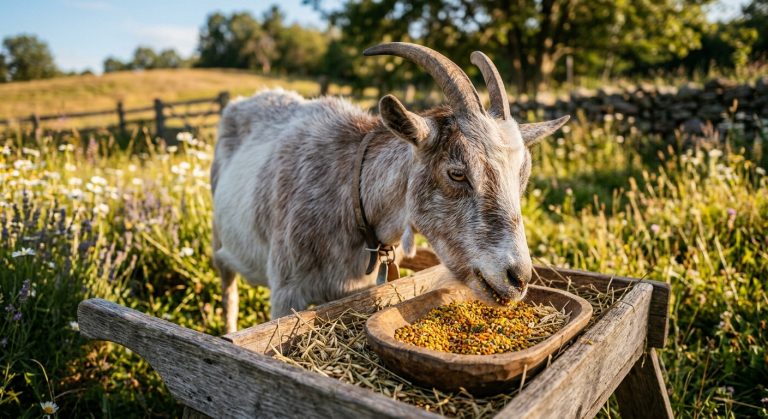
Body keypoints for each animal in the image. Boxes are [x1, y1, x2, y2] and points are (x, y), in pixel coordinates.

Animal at [211, 42, 569, 333]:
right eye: (456, 173)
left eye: (522, 175)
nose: (518, 278)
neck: (350, 194)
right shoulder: (286, 292)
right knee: (229, 289)